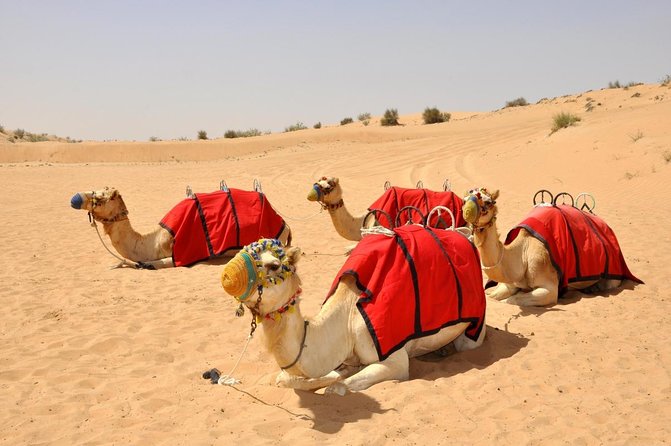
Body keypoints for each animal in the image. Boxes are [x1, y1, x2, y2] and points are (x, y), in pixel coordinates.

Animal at [69, 184, 292, 268]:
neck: (155, 240)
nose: (75, 198)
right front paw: (116, 264)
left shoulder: (179, 256)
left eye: (100, 198)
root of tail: (285, 224)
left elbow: (147, 264)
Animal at [222, 226, 488, 394]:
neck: (347, 319)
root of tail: (465, 236)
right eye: (242, 251)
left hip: (475, 325)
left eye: (274, 265)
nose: (227, 276)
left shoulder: (395, 359)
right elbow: (284, 379)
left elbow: (336, 388)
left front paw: (337, 380)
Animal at [462, 186, 640, 306]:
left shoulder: (549, 288)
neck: (522, 253)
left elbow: (513, 300)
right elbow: (493, 297)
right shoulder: (508, 282)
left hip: (613, 273)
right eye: (464, 199)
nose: (467, 211)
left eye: (488, 202)